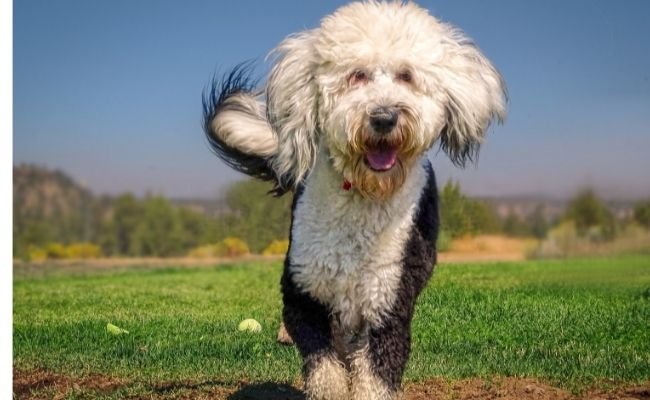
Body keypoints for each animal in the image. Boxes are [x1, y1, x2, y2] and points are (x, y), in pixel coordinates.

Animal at [200, 1, 504, 398]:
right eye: (356, 75)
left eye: (406, 76)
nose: (384, 117)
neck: (362, 195)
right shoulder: (305, 293)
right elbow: (324, 367)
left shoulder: (386, 304)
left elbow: (374, 374)